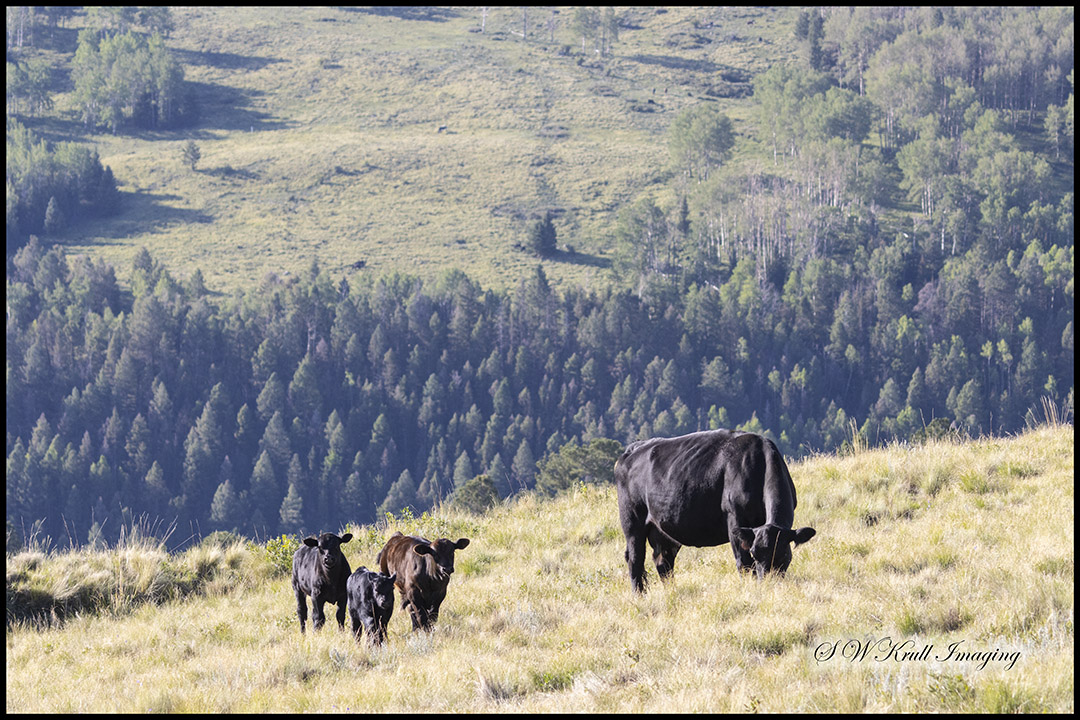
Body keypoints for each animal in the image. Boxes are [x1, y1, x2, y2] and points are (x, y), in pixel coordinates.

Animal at [614, 429, 815, 592]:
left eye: (783, 555)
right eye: (755, 553)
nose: (768, 582)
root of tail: (633, 448)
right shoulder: (735, 520)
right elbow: (743, 563)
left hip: (663, 529)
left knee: (663, 560)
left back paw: (671, 592)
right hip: (632, 522)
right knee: (635, 559)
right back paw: (639, 595)